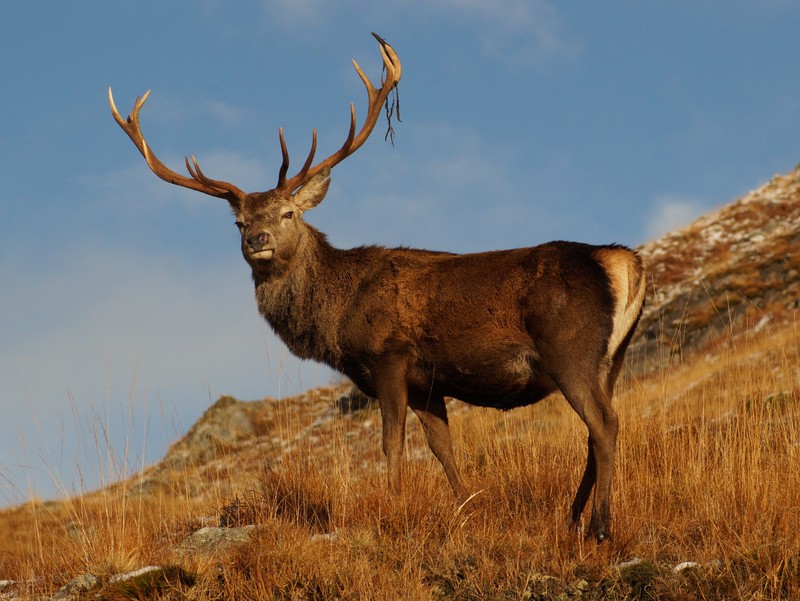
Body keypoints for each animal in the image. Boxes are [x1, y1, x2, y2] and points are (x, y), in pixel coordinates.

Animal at [109, 33, 646, 542]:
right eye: (239, 222)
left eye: (288, 213)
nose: (256, 240)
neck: (337, 316)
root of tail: (622, 260)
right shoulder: (430, 382)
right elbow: (443, 449)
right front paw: (468, 509)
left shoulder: (389, 356)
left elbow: (392, 443)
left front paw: (394, 504)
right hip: (611, 358)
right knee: (596, 428)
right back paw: (572, 518)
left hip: (570, 347)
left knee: (605, 423)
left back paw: (600, 525)